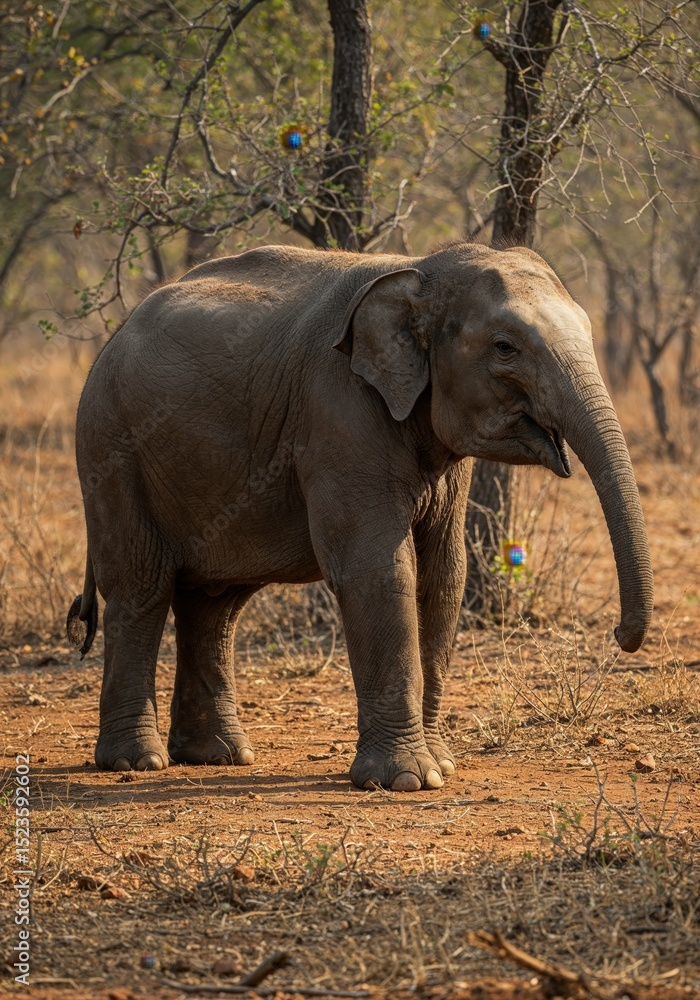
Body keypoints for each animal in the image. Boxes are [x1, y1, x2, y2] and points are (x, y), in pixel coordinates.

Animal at [67, 241, 653, 791]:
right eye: (504, 347)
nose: (620, 634)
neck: (423, 268)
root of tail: (112, 337)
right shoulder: (339, 409)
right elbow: (377, 569)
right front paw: (406, 780)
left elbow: (443, 575)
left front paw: (441, 766)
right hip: (111, 447)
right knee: (141, 588)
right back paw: (137, 762)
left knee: (216, 604)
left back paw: (220, 756)